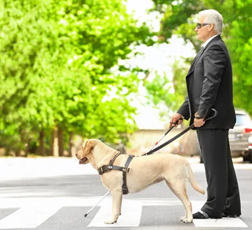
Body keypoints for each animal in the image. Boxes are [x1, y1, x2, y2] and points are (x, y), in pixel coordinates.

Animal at [76, 139, 205, 224]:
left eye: (82, 147)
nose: (76, 154)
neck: (109, 161)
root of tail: (182, 159)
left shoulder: (116, 191)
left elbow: (114, 208)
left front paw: (111, 220)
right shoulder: (119, 192)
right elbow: (118, 208)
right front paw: (116, 219)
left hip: (177, 185)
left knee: (188, 203)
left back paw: (189, 219)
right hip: (173, 186)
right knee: (185, 203)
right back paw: (186, 217)